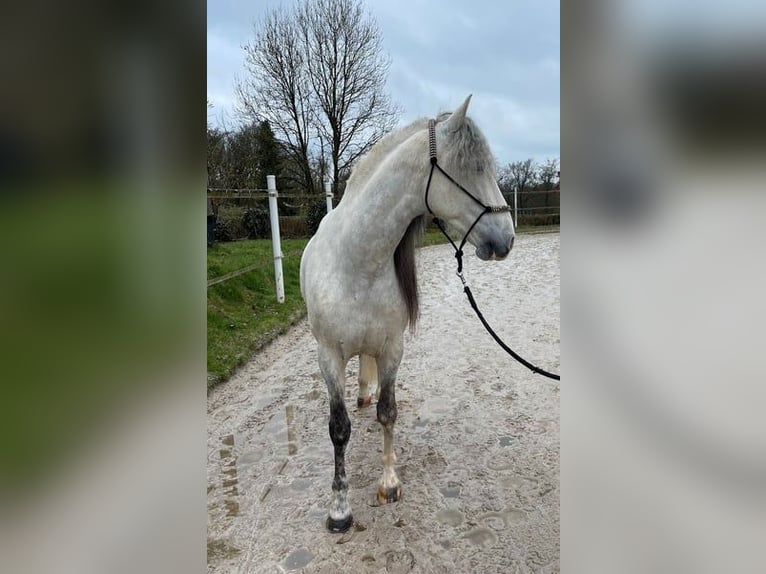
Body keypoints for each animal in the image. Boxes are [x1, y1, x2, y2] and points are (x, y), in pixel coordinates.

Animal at [299, 95, 515, 532]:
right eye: (474, 169)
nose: (508, 238)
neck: (358, 262)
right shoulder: (328, 357)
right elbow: (338, 429)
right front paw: (339, 509)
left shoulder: (391, 350)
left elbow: (388, 413)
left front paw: (389, 483)